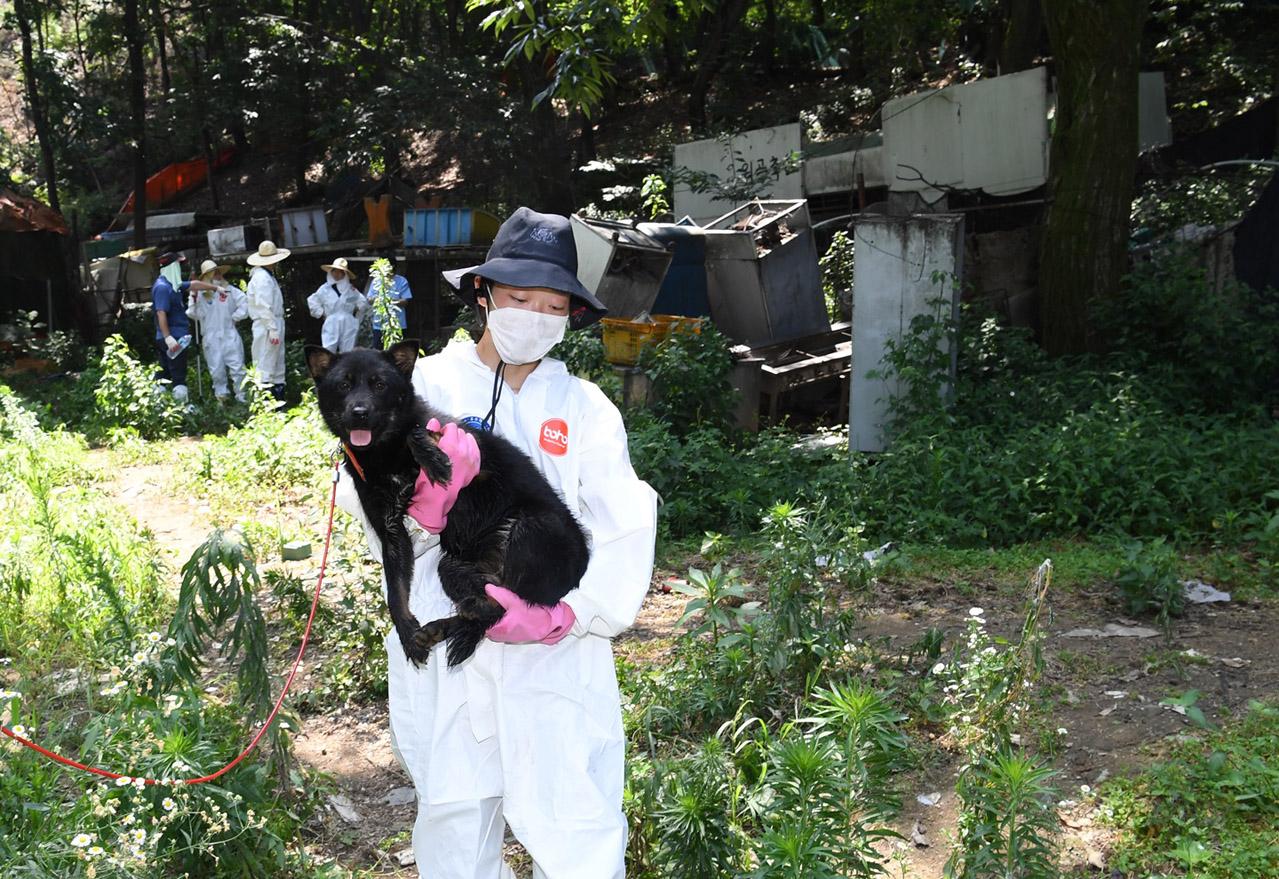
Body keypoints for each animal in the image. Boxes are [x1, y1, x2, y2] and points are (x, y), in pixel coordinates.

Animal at [306, 342, 590, 665]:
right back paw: (442, 626)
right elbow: (395, 592)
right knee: (497, 606)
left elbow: (417, 432)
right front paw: (406, 631)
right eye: (344, 385)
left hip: (531, 525)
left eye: (379, 385)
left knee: (510, 604)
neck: (384, 454)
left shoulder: (477, 463)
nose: (360, 413)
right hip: (453, 567)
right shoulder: (391, 533)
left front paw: (434, 459)